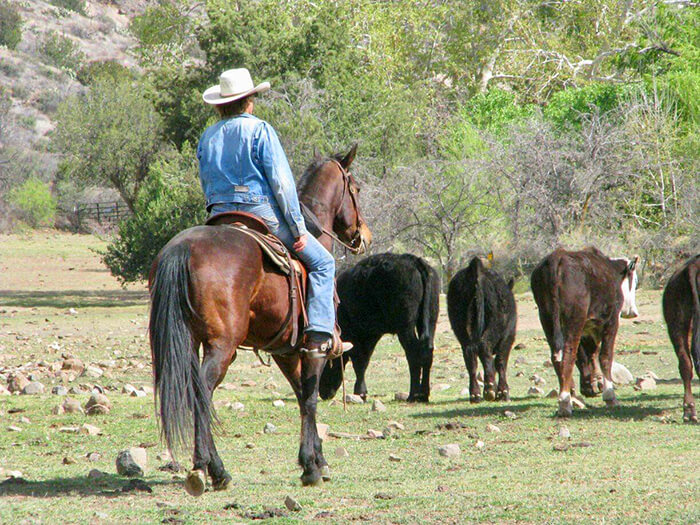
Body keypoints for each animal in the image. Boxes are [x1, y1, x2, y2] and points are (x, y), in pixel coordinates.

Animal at [149, 144, 372, 496]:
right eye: (356, 189)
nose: (363, 235)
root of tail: (181, 250)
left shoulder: (285, 350)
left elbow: (300, 394)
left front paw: (316, 460)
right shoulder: (314, 348)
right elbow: (310, 397)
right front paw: (312, 467)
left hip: (187, 340)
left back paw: (209, 469)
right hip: (222, 346)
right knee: (203, 389)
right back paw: (210, 469)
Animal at [318, 254, 438, 402]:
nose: (323, 393)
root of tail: (414, 261)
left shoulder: (357, 337)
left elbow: (359, 362)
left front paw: (360, 392)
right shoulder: (370, 335)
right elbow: (363, 361)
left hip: (405, 328)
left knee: (413, 352)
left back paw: (413, 395)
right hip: (429, 321)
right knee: (427, 349)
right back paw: (424, 394)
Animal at [446, 256, 516, 402]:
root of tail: (476, 268)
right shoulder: (508, 338)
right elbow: (501, 362)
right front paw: (503, 392)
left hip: (462, 331)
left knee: (470, 357)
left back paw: (475, 394)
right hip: (494, 327)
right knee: (485, 348)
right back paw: (489, 389)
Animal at [532, 248, 640, 416]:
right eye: (634, 282)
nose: (632, 312)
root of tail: (557, 258)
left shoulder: (589, 329)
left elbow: (590, 355)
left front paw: (593, 384)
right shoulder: (611, 322)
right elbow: (605, 357)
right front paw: (609, 395)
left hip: (547, 319)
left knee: (557, 357)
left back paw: (571, 395)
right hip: (574, 319)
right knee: (569, 354)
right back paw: (565, 402)